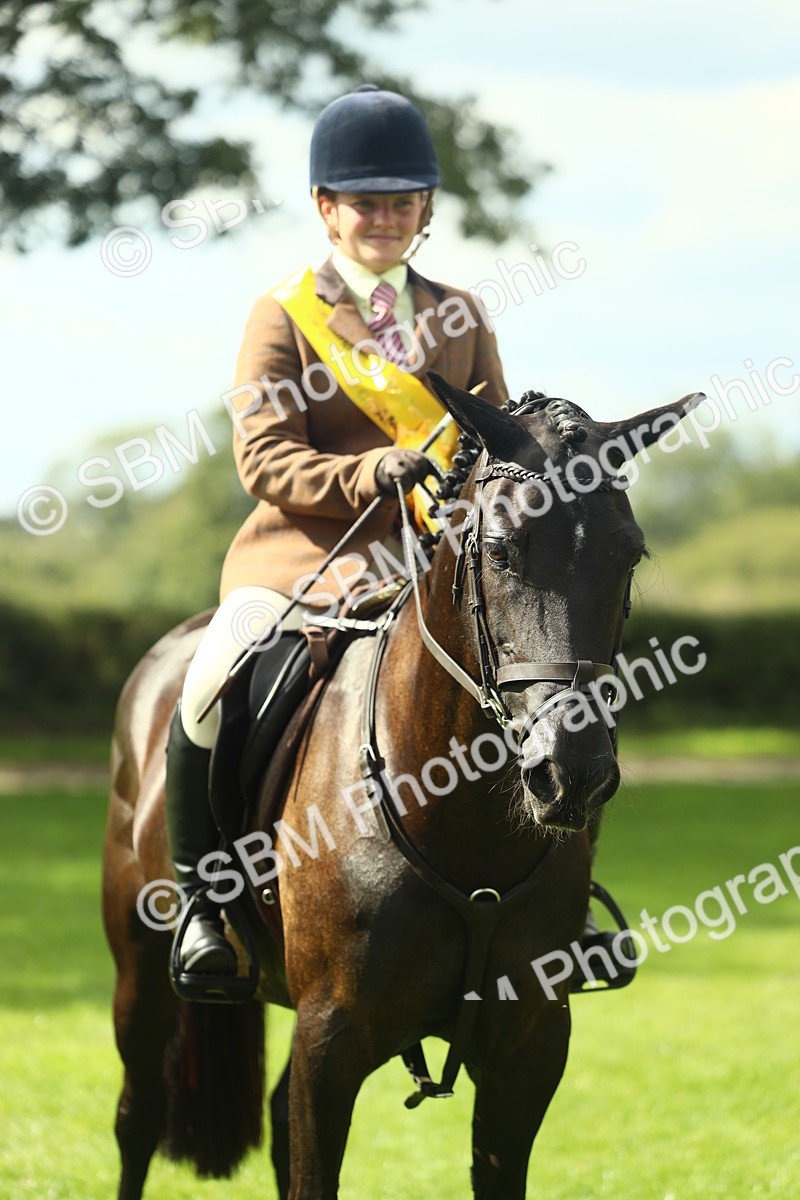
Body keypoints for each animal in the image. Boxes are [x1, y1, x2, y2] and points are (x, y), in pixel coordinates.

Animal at [102, 375, 703, 1200]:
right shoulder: (329, 1038)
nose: (572, 769)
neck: (463, 818)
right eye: (500, 550)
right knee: (139, 1115)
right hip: (139, 969)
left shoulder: (530, 1047)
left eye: (630, 557)